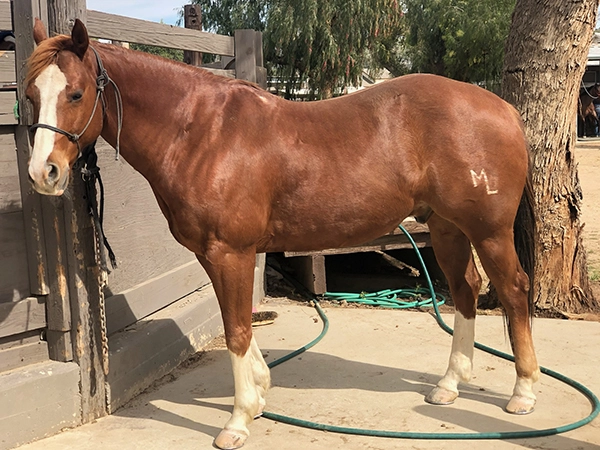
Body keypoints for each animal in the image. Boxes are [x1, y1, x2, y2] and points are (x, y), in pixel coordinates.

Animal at [25, 19, 540, 448]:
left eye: (76, 94)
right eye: (30, 96)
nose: (42, 173)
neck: (201, 132)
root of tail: (504, 108)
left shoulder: (230, 251)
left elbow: (235, 329)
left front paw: (237, 421)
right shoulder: (216, 255)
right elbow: (236, 322)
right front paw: (259, 392)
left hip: (489, 232)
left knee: (514, 291)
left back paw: (524, 392)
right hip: (447, 228)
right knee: (466, 289)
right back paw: (449, 385)